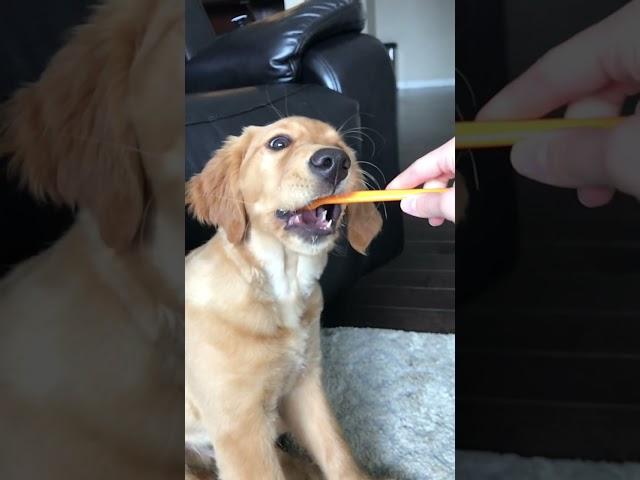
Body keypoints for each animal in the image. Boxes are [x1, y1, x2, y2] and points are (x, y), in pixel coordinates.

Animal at [185, 117, 384, 480]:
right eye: (278, 143)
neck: (283, 290)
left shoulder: (305, 387)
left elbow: (339, 455)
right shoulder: (240, 428)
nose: (335, 161)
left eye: (345, 150)